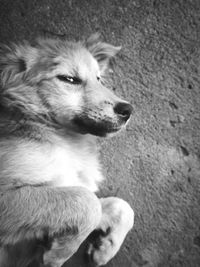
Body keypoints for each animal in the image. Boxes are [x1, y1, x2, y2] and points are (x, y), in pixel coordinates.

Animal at [0, 34, 134, 267]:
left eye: (99, 79)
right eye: (69, 79)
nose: (128, 110)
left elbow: (120, 205)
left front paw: (105, 247)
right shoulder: (6, 197)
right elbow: (87, 202)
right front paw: (60, 252)